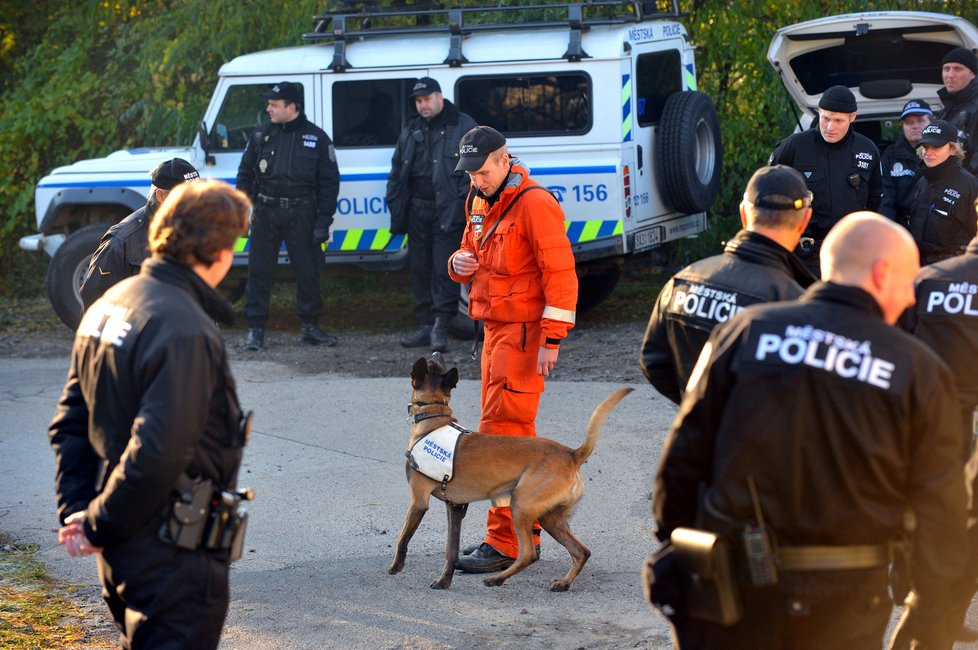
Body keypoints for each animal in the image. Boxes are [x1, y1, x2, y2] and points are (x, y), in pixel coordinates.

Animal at [388, 352, 632, 588]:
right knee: (581, 551)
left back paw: (497, 579)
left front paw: (396, 566)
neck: (433, 418)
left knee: (528, 554)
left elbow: (403, 537)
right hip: (550, 518)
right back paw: (563, 583)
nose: (438, 351)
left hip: (521, 506)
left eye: (432, 362)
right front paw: (444, 581)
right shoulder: (455, 508)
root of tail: (572, 454)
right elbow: (451, 551)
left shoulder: (419, 502)